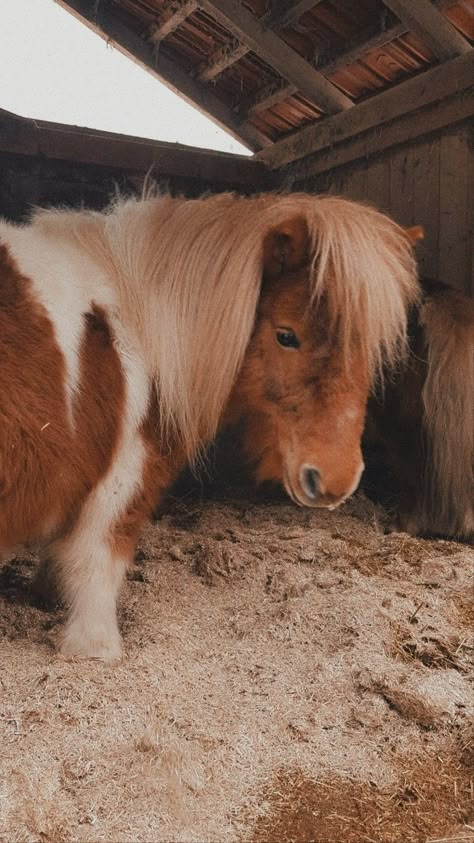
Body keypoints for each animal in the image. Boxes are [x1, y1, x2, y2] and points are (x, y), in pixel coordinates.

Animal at [0, 193, 414, 660]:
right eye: (286, 335)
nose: (334, 479)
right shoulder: (123, 481)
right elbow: (97, 562)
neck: (140, 323)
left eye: (371, 348)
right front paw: (95, 649)